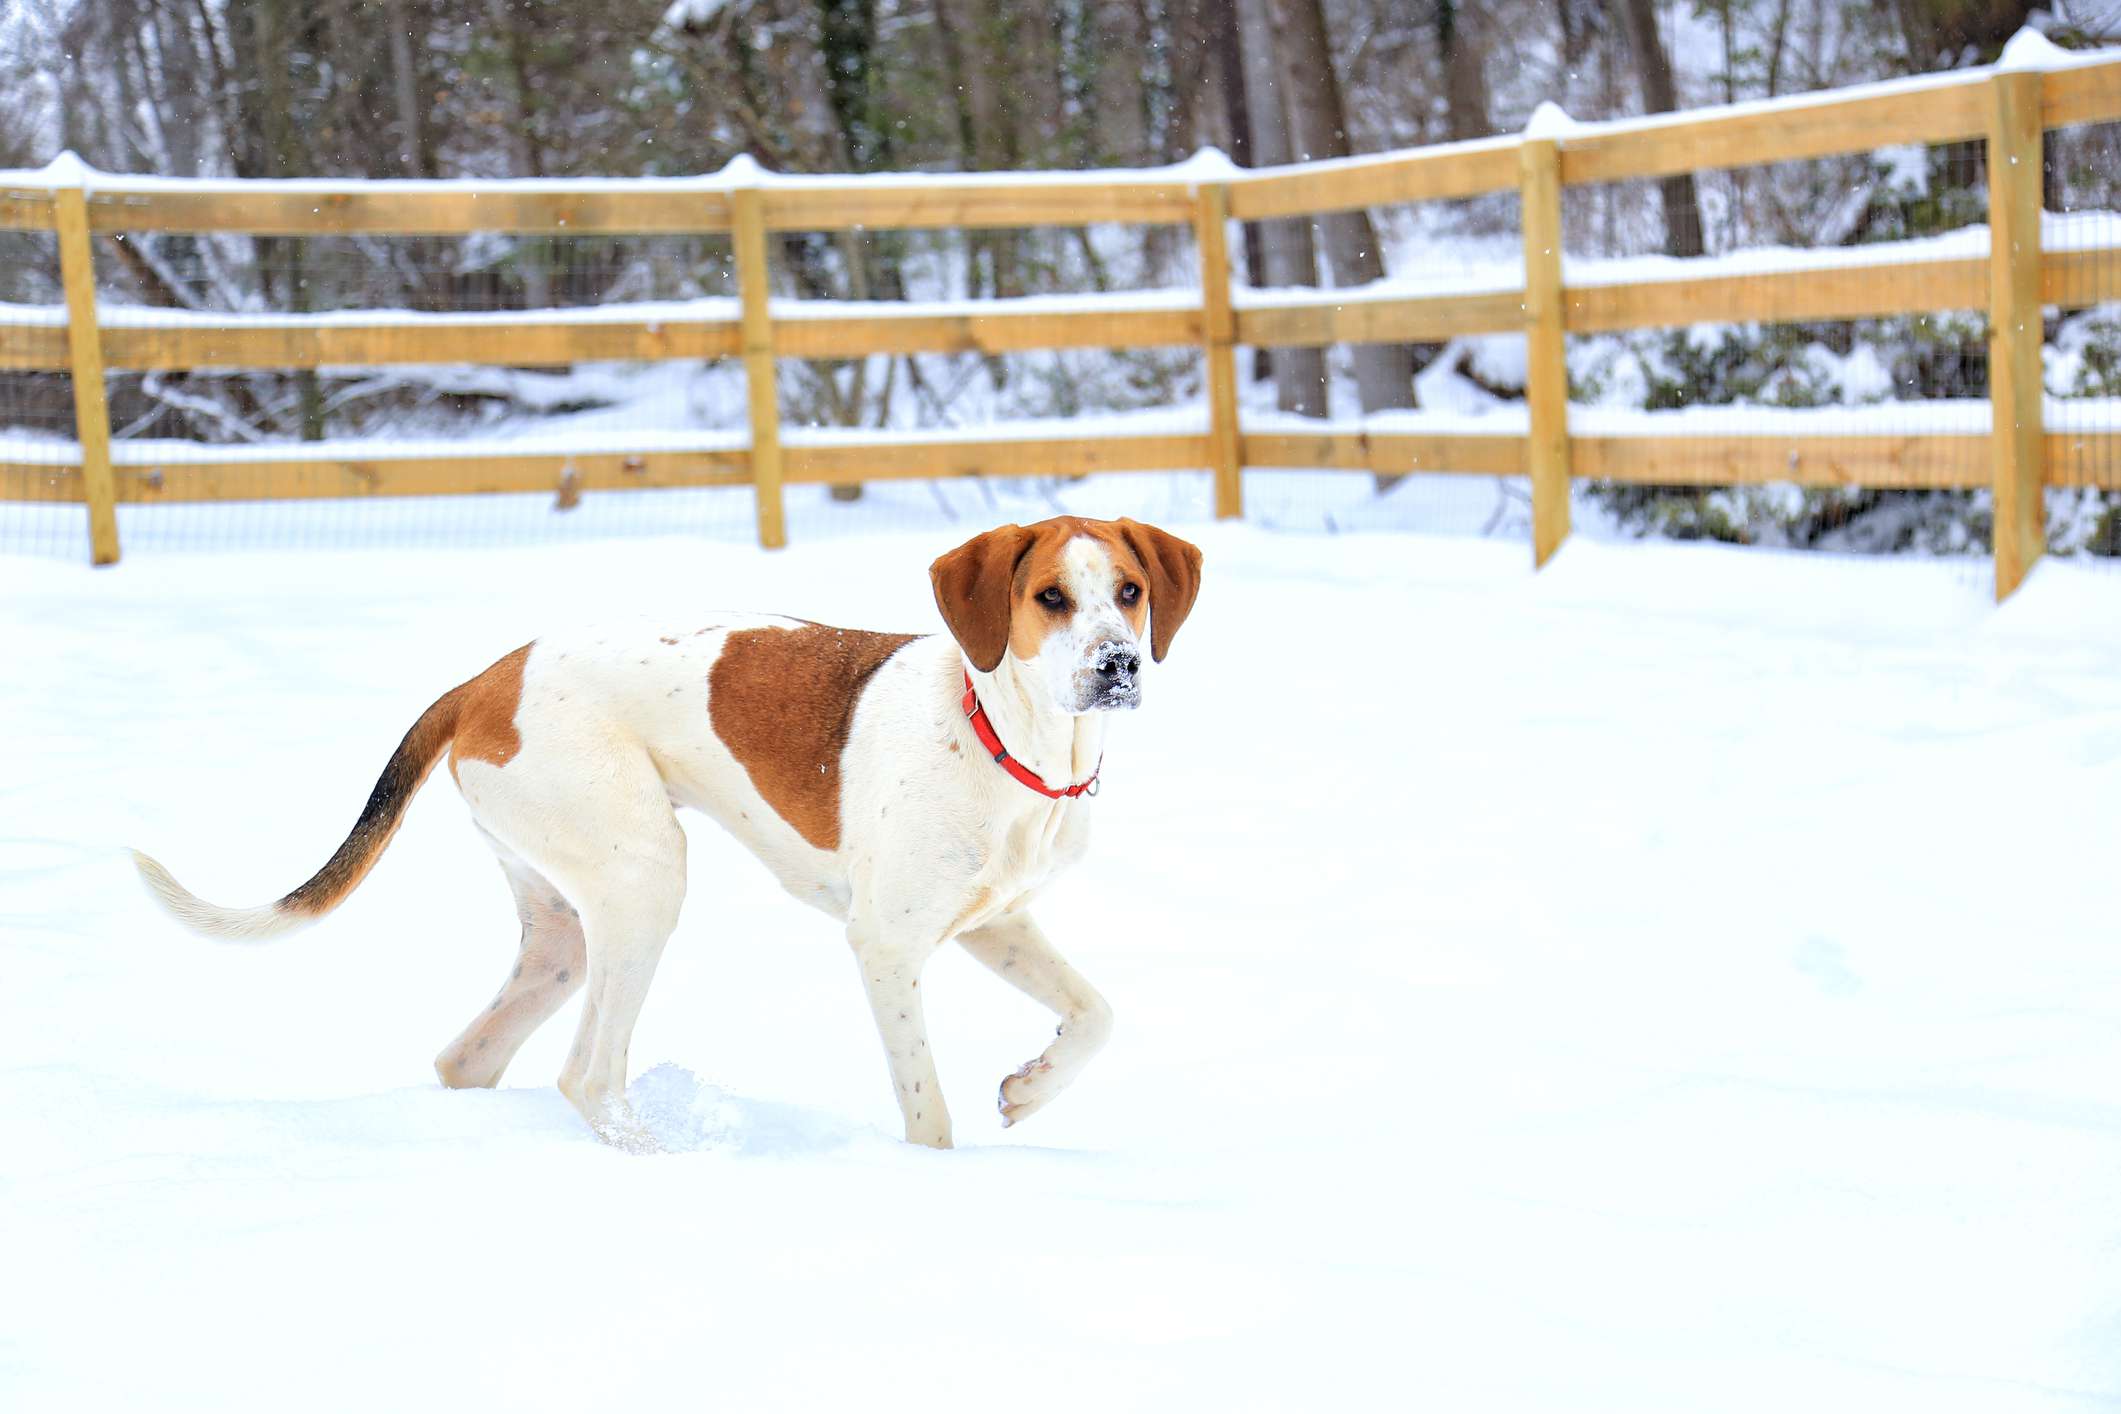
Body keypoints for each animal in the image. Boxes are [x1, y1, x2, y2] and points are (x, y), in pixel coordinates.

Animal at [132, 517, 1204, 1153]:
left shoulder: (994, 923)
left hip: (564, 932)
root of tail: (484, 679)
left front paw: (1031, 1090)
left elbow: (1098, 1016)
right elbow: (926, 1109)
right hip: (644, 878)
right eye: (1049, 598)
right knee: (587, 1071)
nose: (1116, 666)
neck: (1005, 738)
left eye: (1129, 593)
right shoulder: (888, 943)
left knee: (469, 1059)